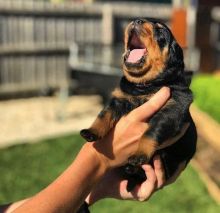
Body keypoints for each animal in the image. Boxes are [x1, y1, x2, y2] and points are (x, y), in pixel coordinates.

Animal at [80, 18, 197, 191]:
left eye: (160, 31)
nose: (137, 20)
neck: (144, 86)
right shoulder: (119, 99)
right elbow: (104, 115)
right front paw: (91, 131)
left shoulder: (172, 108)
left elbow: (152, 131)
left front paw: (139, 154)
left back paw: (132, 167)